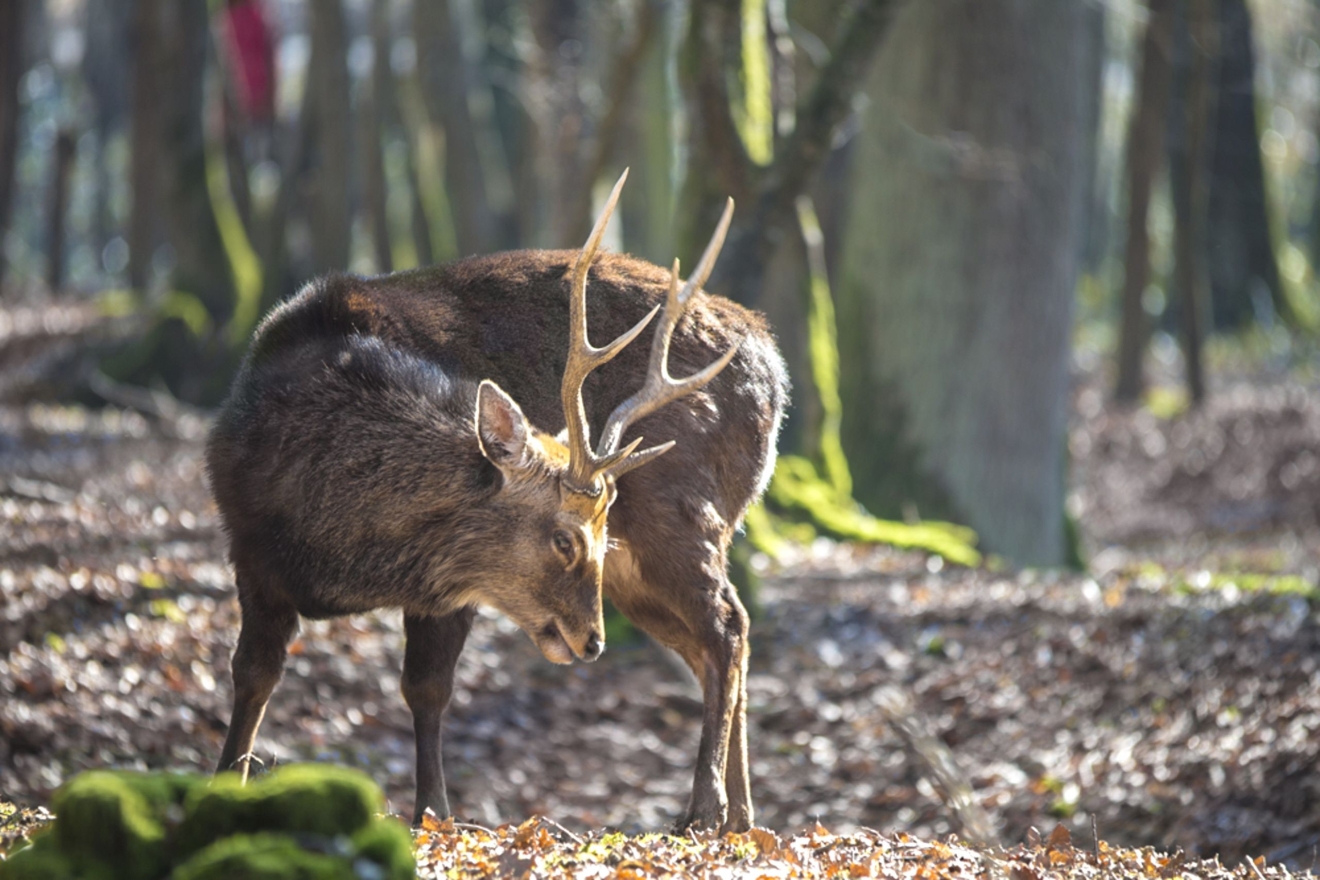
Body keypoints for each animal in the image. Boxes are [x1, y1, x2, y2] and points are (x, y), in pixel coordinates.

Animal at [205, 171, 788, 833]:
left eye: (599, 533)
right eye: (566, 538)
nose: (593, 642)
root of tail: (775, 372)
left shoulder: (448, 585)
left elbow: (426, 688)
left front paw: (434, 815)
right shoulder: (249, 550)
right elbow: (253, 674)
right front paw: (224, 783)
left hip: (683, 514)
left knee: (726, 626)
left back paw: (705, 809)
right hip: (643, 567)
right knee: (712, 641)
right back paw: (742, 815)